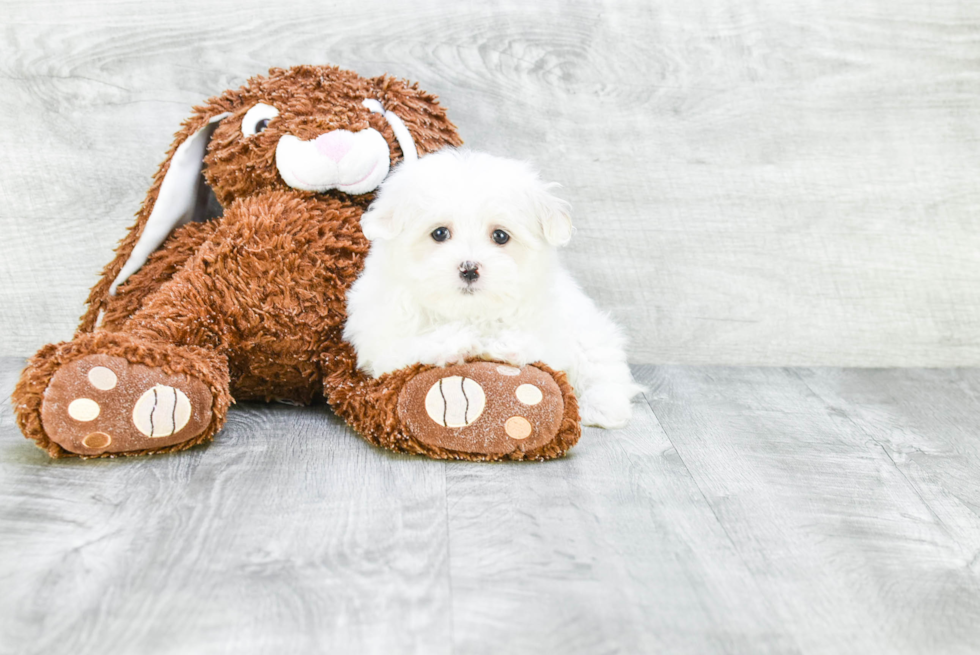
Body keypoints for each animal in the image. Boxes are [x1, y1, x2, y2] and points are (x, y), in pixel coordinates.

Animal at [342, 147, 644, 430]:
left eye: (500, 236)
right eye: (439, 233)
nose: (469, 268)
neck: (471, 312)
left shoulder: (555, 332)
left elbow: (540, 347)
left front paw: (505, 344)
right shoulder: (380, 341)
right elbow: (407, 346)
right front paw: (455, 342)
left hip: (589, 330)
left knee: (603, 366)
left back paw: (603, 408)